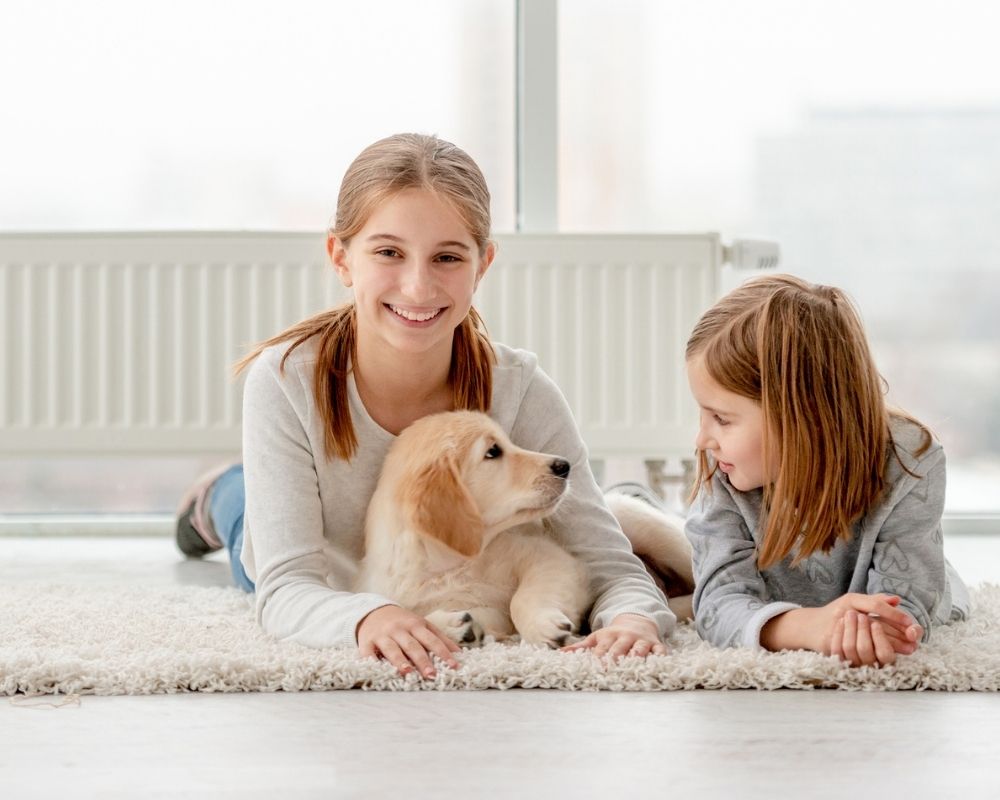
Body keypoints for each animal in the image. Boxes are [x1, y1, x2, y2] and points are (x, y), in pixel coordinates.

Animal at [358, 410, 588, 648]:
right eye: (493, 451)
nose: (565, 466)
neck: (451, 566)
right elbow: (414, 616)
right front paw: (451, 627)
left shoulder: (549, 556)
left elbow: (523, 596)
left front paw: (542, 625)